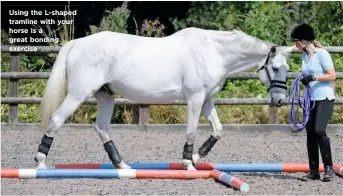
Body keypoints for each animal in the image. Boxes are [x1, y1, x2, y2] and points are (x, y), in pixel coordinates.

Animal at [35, 27, 296, 170]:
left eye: (286, 68)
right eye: (274, 68)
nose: (280, 101)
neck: (213, 52)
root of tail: (77, 43)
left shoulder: (207, 100)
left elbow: (218, 130)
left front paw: (197, 156)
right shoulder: (195, 98)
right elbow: (191, 130)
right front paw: (188, 163)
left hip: (106, 96)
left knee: (102, 128)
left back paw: (122, 165)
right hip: (77, 95)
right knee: (56, 121)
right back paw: (40, 163)